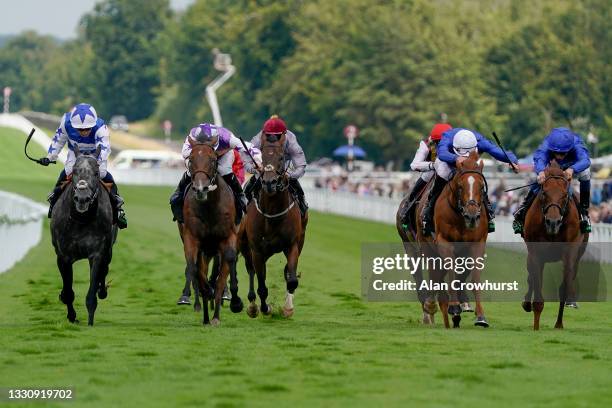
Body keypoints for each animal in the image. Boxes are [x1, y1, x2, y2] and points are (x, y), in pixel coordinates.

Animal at [50, 146, 117, 326]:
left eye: (96, 172)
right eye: (74, 171)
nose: (82, 198)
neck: (81, 219)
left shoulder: (97, 253)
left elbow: (92, 292)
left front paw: (90, 322)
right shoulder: (63, 256)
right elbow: (68, 291)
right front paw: (71, 315)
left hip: (109, 250)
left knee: (105, 270)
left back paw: (102, 290)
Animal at [178, 136, 243, 326]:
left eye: (213, 160)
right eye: (191, 159)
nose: (201, 189)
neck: (209, 208)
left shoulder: (228, 238)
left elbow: (226, 269)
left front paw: (231, 304)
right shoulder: (192, 239)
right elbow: (194, 268)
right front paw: (203, 294)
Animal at [238, 132, 306, 318]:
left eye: (281, 157)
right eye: (261, 156)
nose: (269, 182)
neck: (273, 214)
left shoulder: (292, 245)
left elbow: (291, 279)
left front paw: (288, 308)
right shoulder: (257, 249)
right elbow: (262, 286)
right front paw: (264, 307)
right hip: (245, 245)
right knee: (251, 270)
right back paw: (252, 305)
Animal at [406, 152, 492, 328]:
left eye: (481, 187)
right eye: (460, 186)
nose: (472, 216)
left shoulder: (477, 244)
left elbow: (475, 277)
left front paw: (480, 316)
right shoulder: (444, 242)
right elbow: (450, 272)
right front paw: (454, 308)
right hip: (424, 245)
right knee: (433, 274)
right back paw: (431, 306)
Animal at [520, 161, 588, 330]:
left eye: (564, 195)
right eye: (544, 193)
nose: (553, 222)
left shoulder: (570, 253)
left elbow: (564, 287)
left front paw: (559, 324)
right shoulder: (536, 254)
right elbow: (536, 284)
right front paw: (536, 327)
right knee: (531, 276)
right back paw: (526, 303)